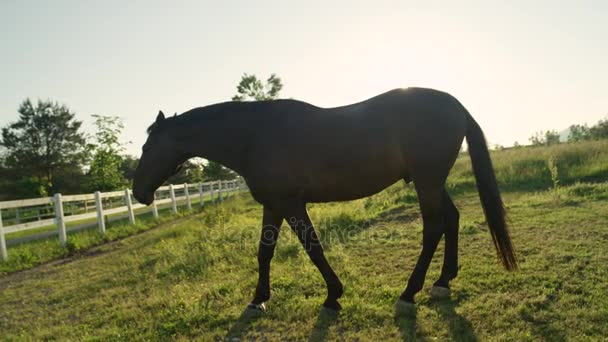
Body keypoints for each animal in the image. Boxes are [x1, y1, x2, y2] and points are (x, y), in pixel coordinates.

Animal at [134, 87, 516, 312]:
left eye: (148, 147)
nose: (138, 192)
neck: (254, 136)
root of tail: (456, 106)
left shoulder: (291, 204)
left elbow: (312, 247)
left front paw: (333, 295)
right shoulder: (273, 205)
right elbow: (264, 252)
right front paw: (258, 299)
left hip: (427, 182)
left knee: (434, 227)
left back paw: (410, 292)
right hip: (432, 182)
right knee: (451, 219)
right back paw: (442, 281)